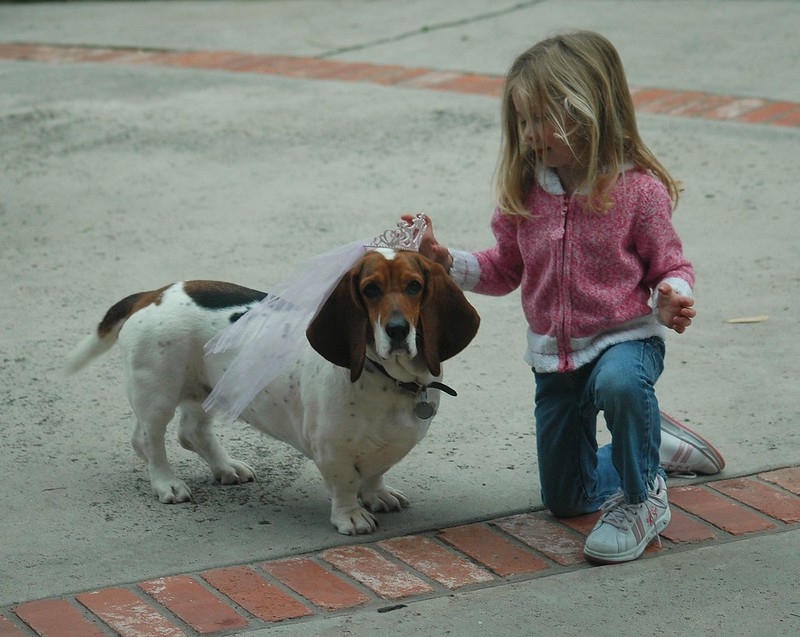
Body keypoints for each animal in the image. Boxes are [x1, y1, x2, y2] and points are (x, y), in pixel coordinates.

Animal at [65, 248, 478, 532]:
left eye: (415, 286)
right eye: (370, 290)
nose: (396, 330)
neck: (390, 380)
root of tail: (153, 293)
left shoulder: (390, 446)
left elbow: (376, 472)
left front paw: (377, 495)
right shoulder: (332, 450)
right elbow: (345, 483)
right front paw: (351, 517)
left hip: (213, 389)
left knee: (191, 432)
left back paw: (226, 467)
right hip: (157, 395)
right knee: (150, 440)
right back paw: (166, 483)